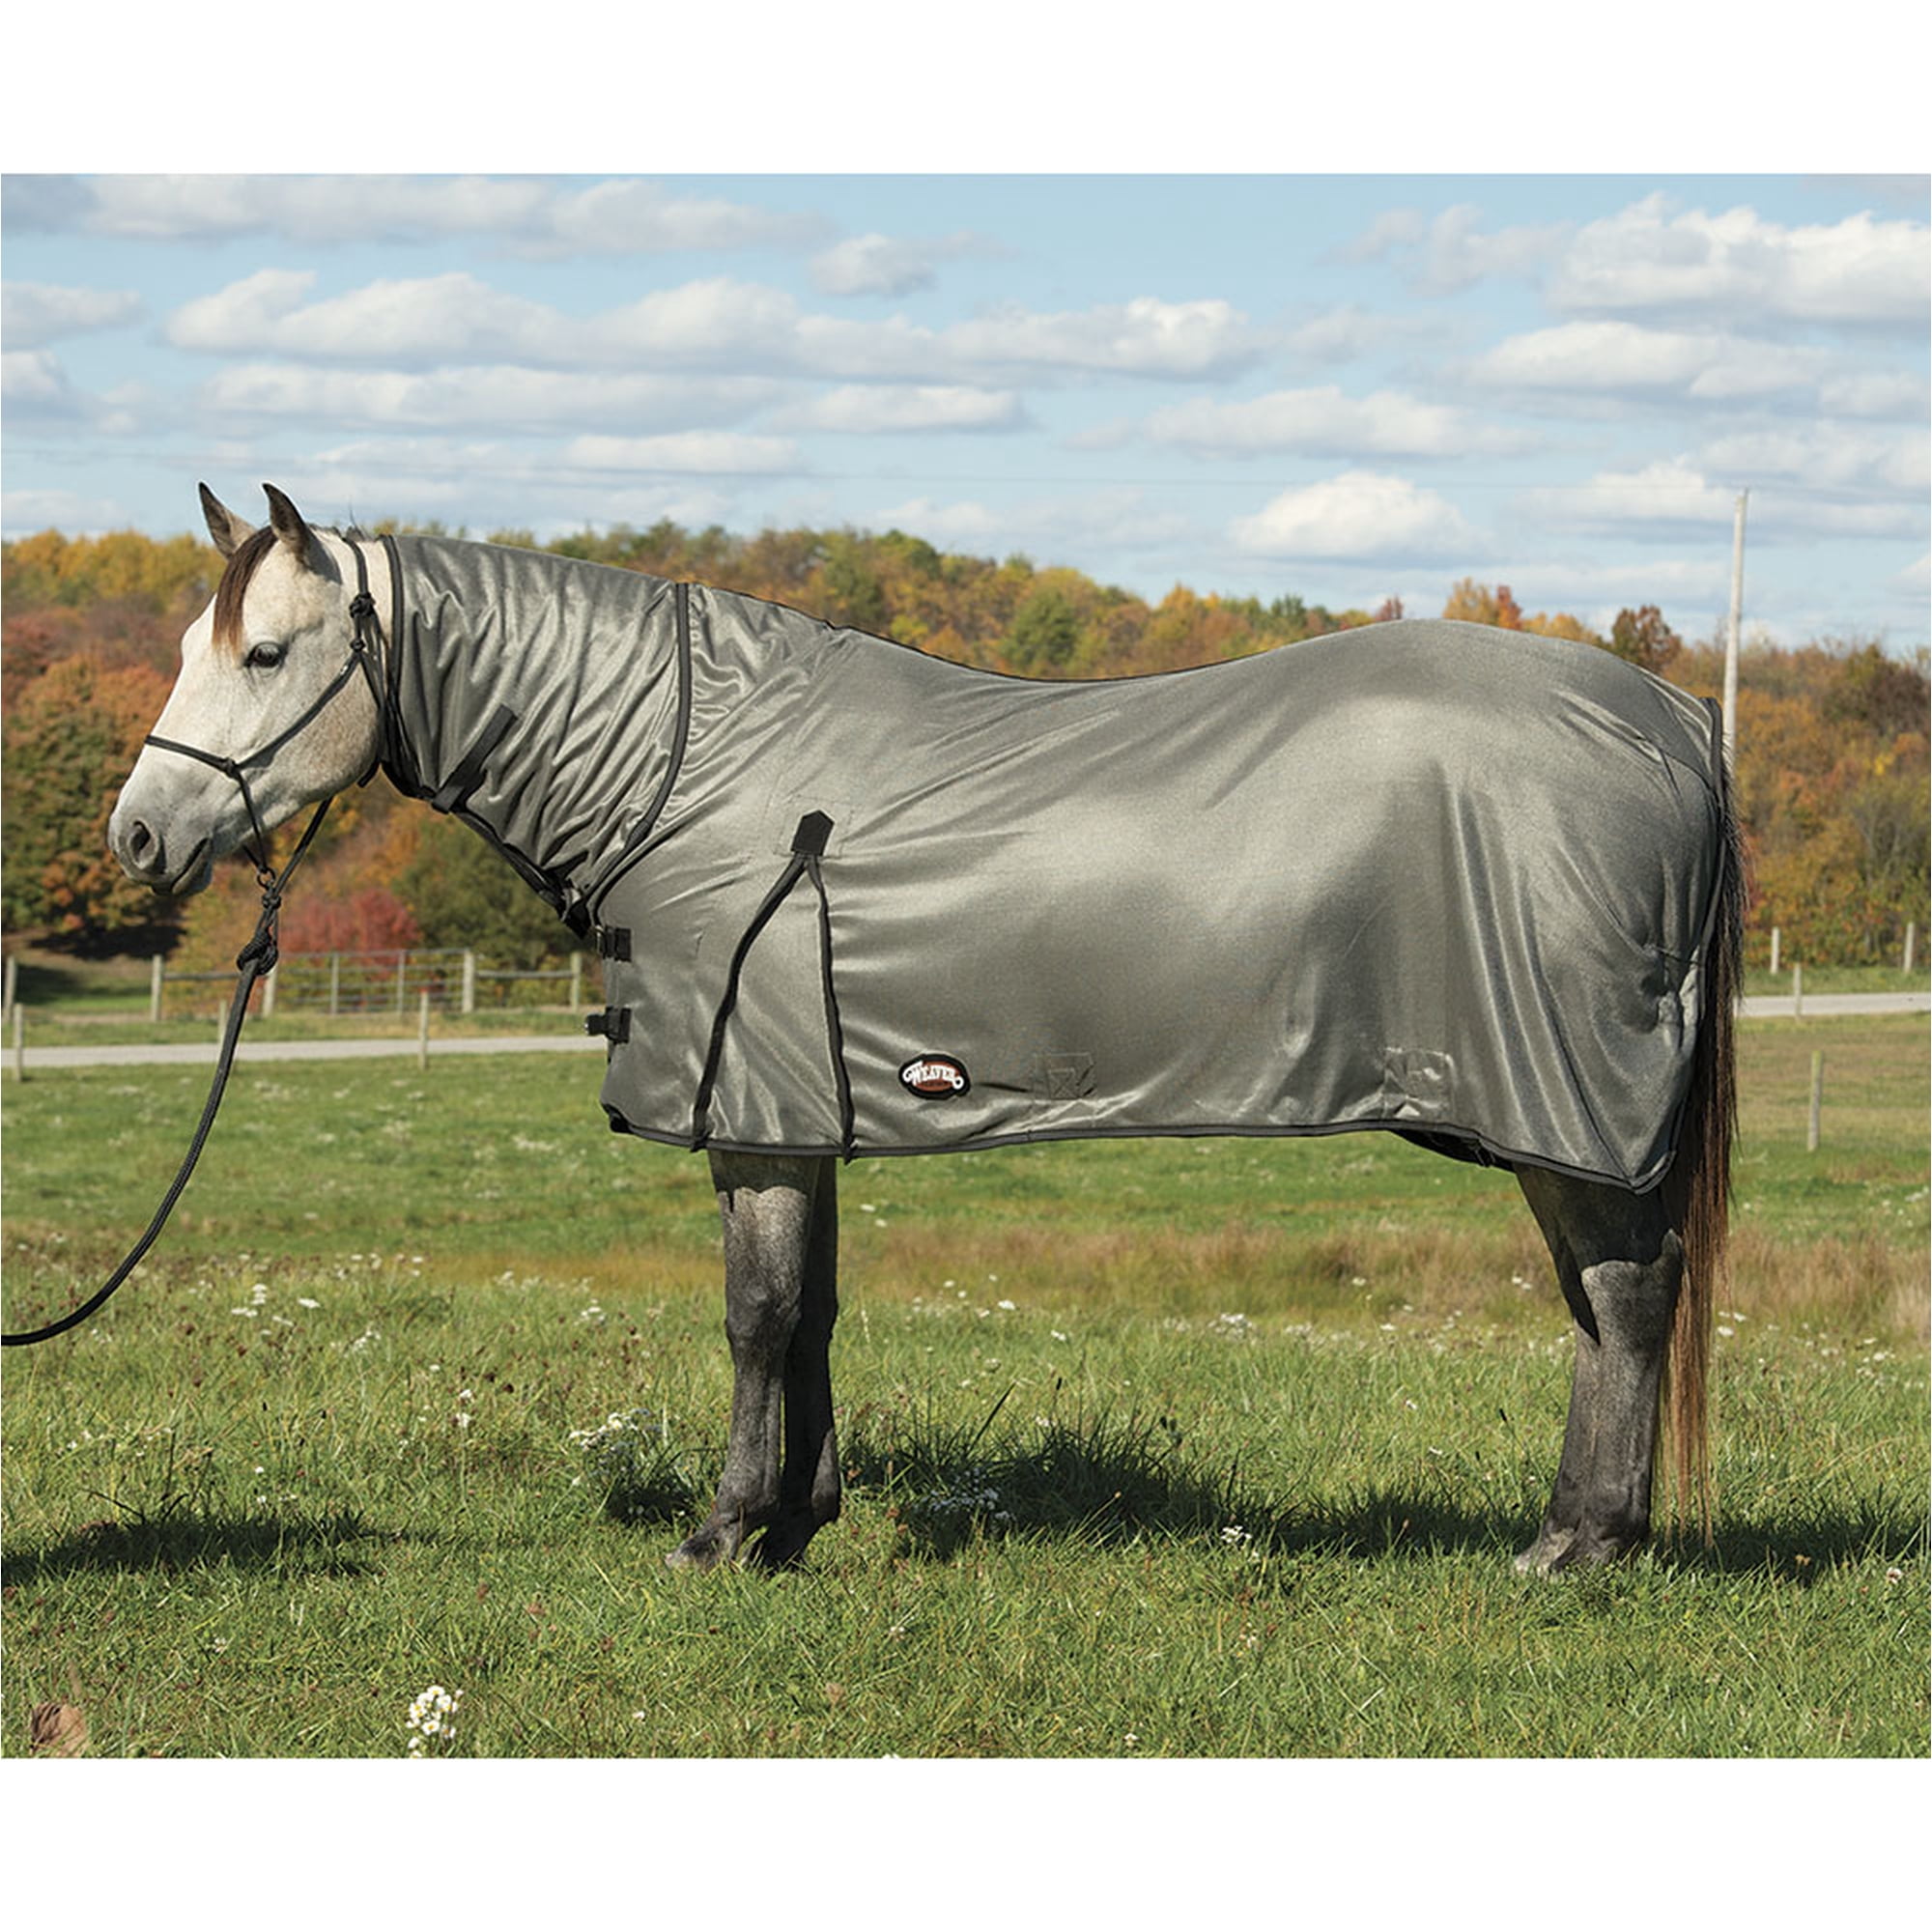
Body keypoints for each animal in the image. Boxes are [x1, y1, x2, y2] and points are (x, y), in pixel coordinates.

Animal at [109, 483, 1740, 1575]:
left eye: (265, 656)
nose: (136, 836)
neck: (689, 763)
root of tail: (1672, 721)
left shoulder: (755, 1113)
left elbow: (757, 1317)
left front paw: (722, 1532)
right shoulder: (791, 1109)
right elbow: (812, 1309)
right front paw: (795, 1525)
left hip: (1566, 1107)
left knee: (1627, 1297)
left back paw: (1578, 1547)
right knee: (1604, 1303)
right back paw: (1581, 1533)